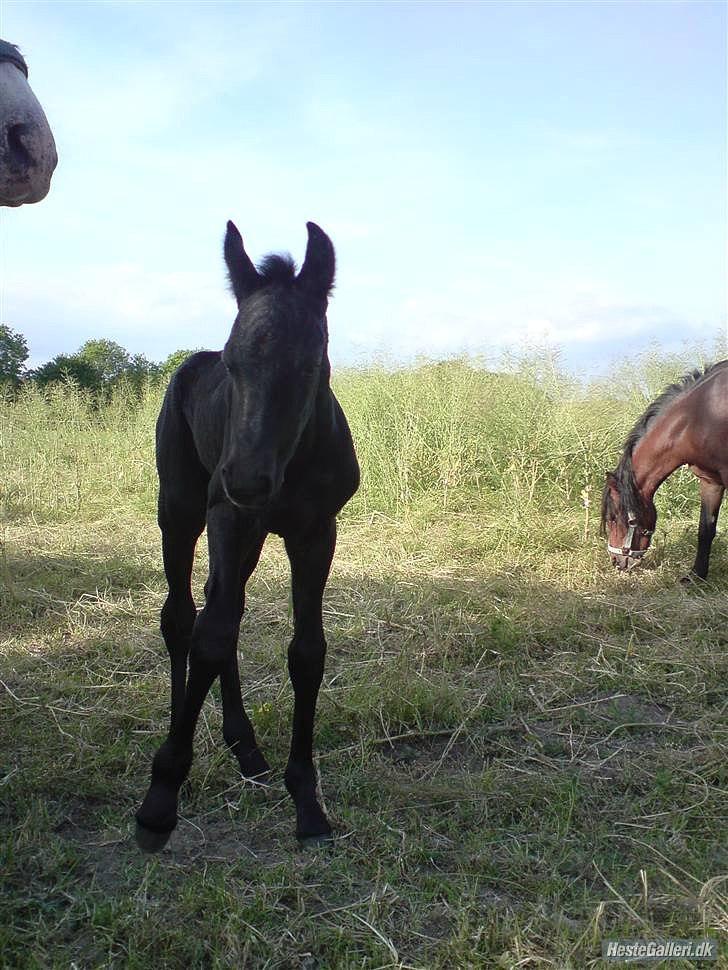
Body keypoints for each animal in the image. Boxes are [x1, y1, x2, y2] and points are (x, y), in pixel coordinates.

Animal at [604, 360, 728, 580]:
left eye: (613, 518)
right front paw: (696, 576)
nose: (616, 561)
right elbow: (705, 529)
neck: (700, 415)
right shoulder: (710, 481)